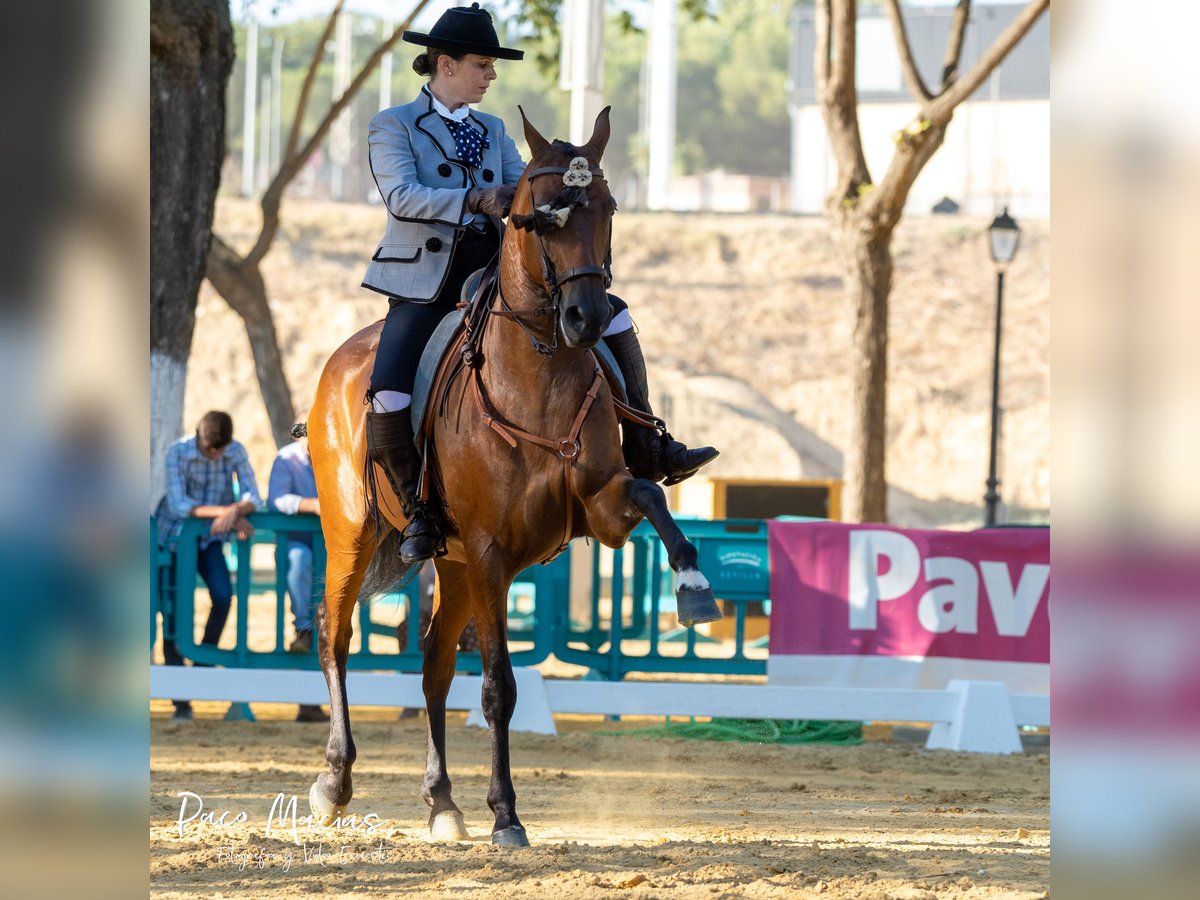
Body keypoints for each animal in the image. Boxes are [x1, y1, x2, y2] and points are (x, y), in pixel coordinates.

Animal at [304, 109, 720, 849]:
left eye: (609, 207)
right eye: (539, 214)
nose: (586, 318)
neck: (539, 374)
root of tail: (343, 359)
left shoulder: (599, 509)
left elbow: (647, 493)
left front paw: (694, 587)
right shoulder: (492, 553)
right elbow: (499, 686)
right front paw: (507, 814)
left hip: (452, 561)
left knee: (434, 664)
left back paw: (442, 803)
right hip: (354, 532)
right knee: (336, 636)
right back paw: (334, 782)